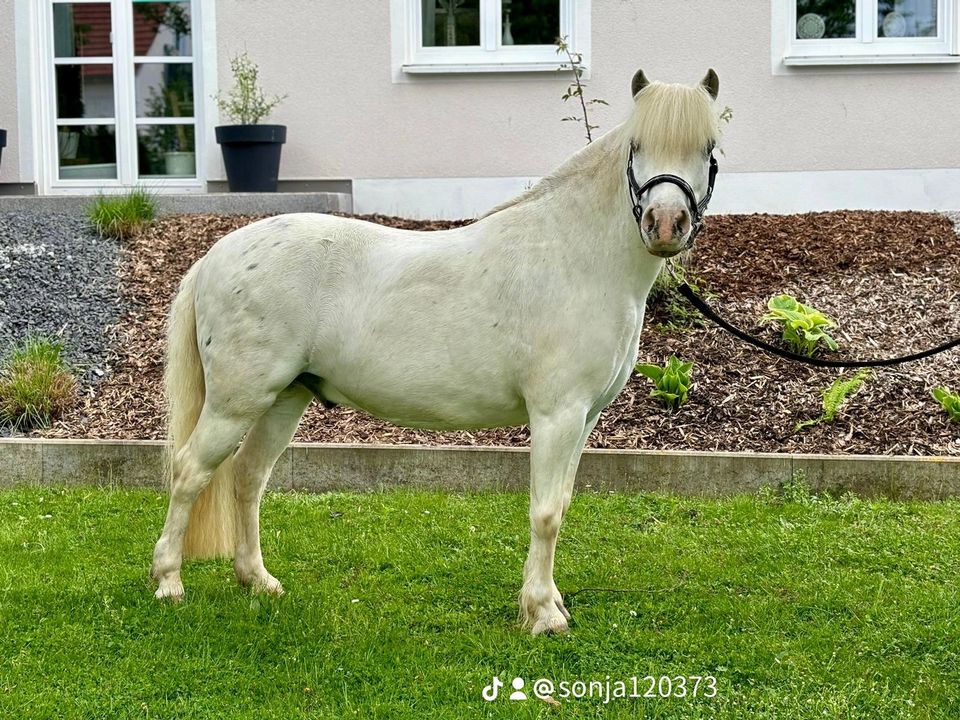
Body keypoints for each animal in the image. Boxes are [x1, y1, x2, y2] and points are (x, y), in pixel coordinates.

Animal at [152, 66, 720, 632]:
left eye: (709, 147)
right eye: (637, 146)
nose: (664, 224)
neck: (572, 257)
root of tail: (216, 255)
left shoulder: (585, 417)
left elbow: (560, 504)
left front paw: (548, 602)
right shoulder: (556, 414)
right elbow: (544, 513)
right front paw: (542, 613)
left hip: (284, 399)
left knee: (248, 477)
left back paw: (257, 580)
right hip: (236, 403)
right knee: (189, 472)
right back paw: (169, 582)